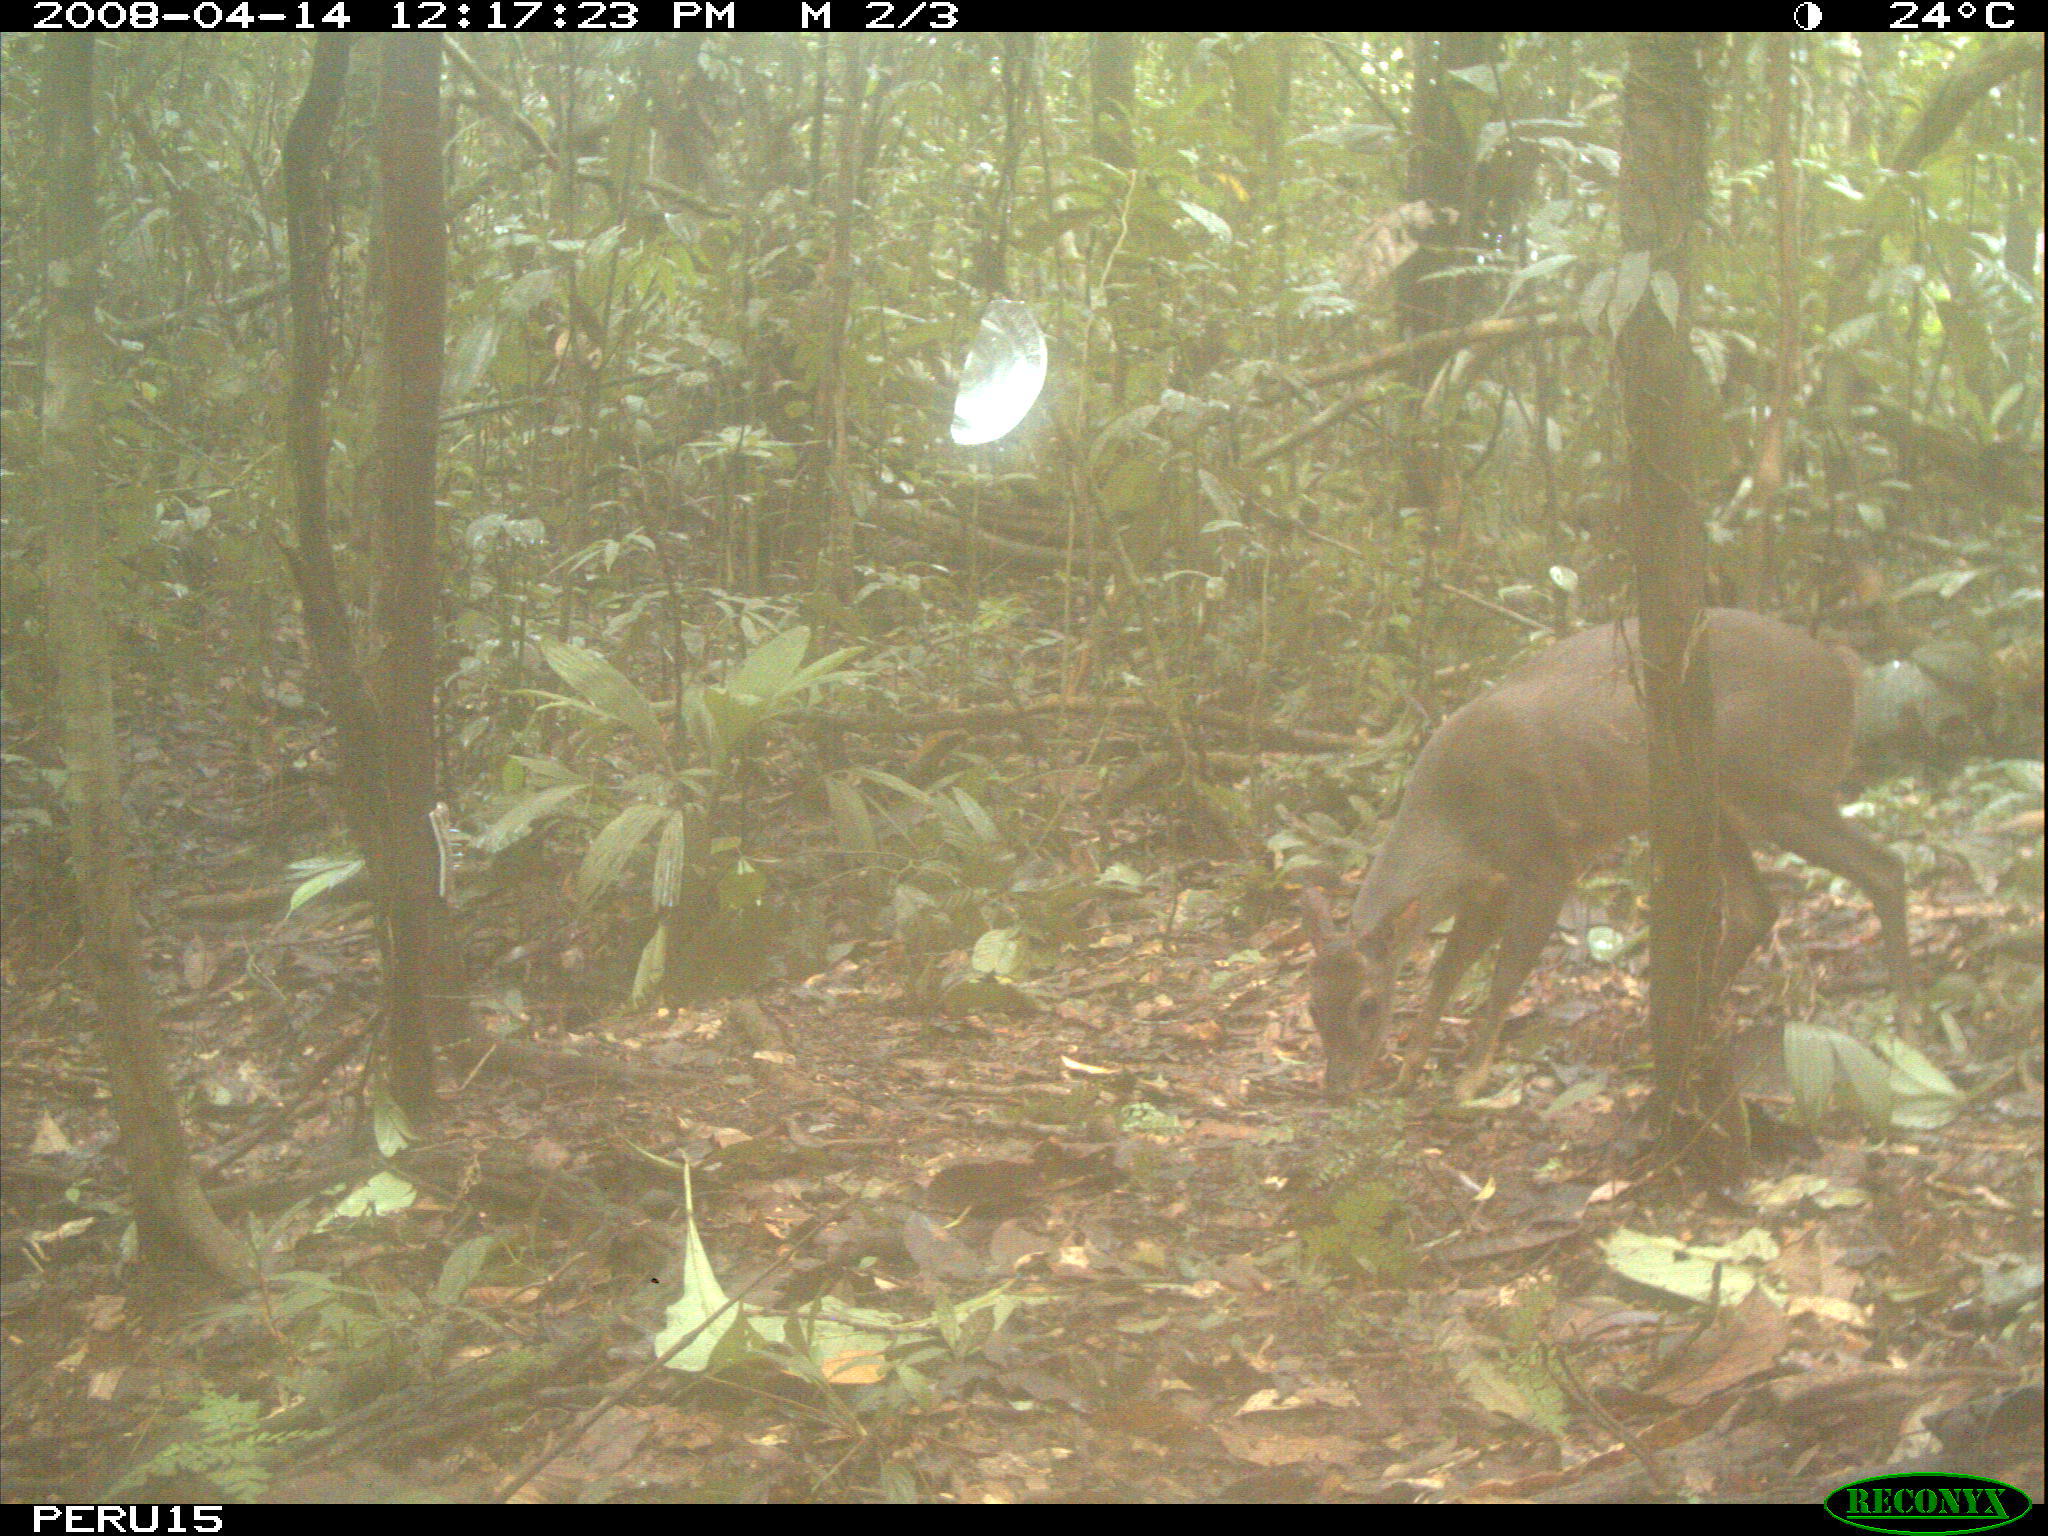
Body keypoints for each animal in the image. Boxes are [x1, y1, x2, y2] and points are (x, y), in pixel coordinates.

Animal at [1302, 606, 1908, 1097]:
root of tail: (1844, 670)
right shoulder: (1488, 886)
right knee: (1758, 906)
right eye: (1312, 1005)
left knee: (1884, 866)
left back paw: (1906, 1016)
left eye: (1367, 1004)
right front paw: (1410, 1069)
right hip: (1717, 803)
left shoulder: (1546, 860)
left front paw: (1470, 1079)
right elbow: (1448, 969)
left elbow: (1505, 973)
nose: (1336, 1086)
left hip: (1779, 786)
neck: (1455, 825)